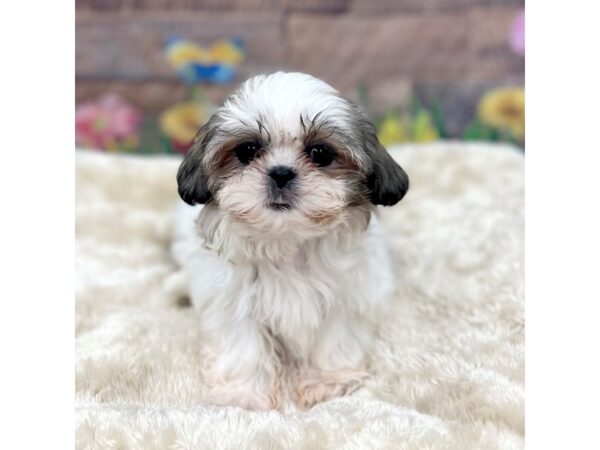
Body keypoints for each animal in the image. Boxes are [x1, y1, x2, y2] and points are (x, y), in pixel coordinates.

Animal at [171, 71, 410, 412]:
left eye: (320, 154)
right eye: (247, 150)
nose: (281, 173)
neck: (287, 241)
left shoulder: (347, 296)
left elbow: (335, 339)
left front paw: (327, 382)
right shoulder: (234, 302)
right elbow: (243, 347)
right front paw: (244, 394)